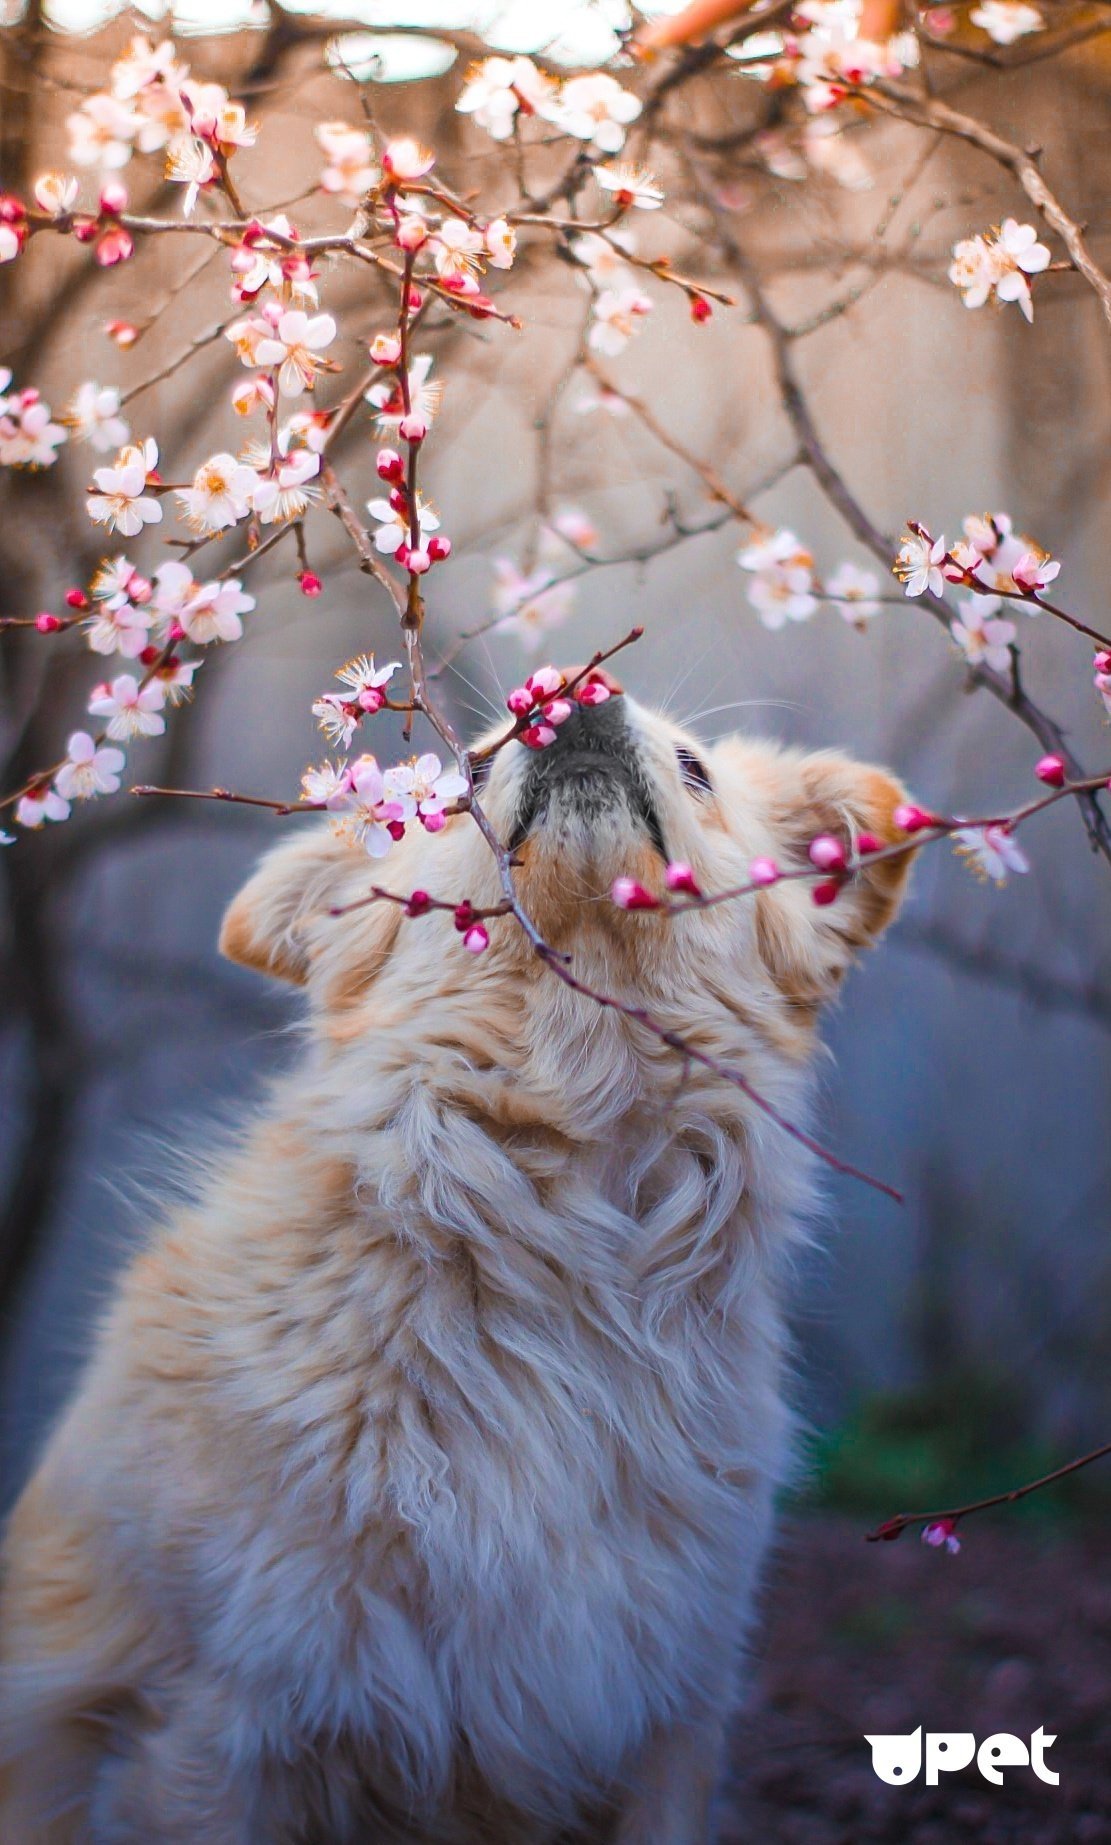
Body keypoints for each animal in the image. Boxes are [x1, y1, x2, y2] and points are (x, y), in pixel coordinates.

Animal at [0, 686, 907, 1837]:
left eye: (697, 769)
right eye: (465, 775)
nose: (580, 698)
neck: (554, 1241)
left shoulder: (664, 1718)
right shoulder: (216, 1727)